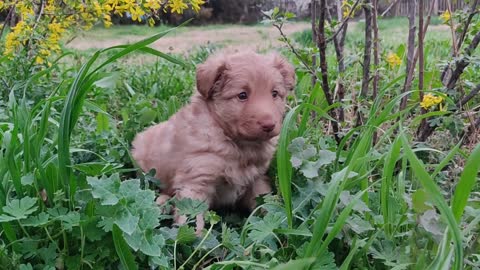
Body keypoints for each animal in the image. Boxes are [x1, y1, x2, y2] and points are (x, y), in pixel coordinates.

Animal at [132, 51, 296, 233]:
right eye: (242, 95)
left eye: (274, 94)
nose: (269, 125)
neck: (235, 144)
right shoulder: (196, 181)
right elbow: (192, 219)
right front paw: (192, 238)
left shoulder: (256, 179)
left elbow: (266, 203)